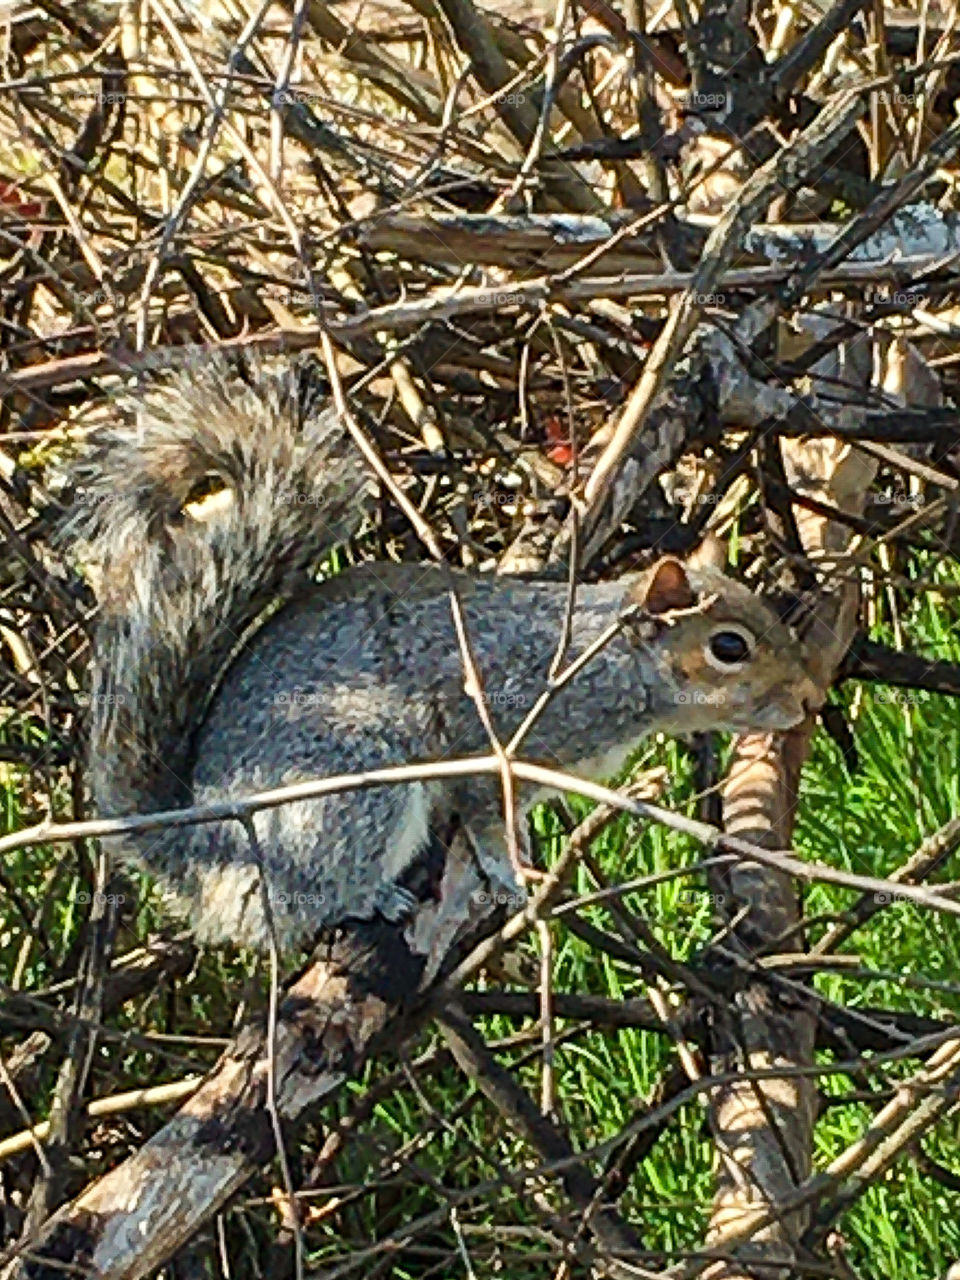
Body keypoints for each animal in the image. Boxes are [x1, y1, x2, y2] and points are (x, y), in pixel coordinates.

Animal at [70, 356, 817, 954]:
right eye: (729, 647)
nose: (807, 698)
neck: (602, 666)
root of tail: (202, 858)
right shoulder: (493, 736)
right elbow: (483, 816)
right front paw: (508, 872)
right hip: (351, 787)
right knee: (295, 908)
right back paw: (369, 898)